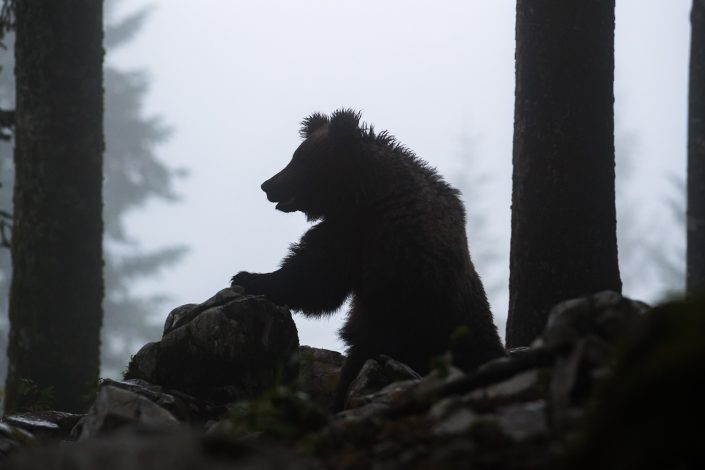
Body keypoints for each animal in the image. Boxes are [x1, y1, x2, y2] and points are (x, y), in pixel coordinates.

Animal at [232, 109, 506, 408]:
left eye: (300, 159)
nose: (267, 185)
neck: (367, 194)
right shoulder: (351, 232)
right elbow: (317, 277)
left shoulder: (389, 249)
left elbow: (319, 279)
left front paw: (247, 277)